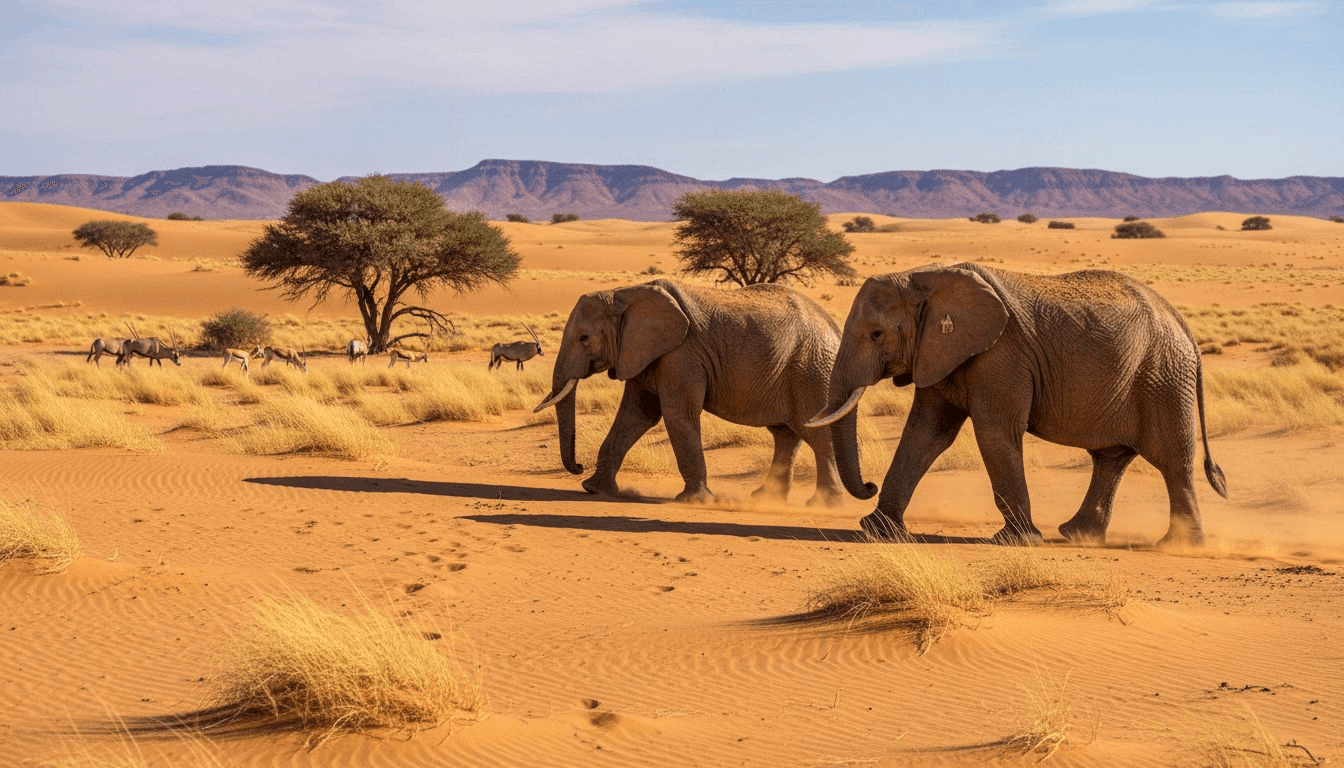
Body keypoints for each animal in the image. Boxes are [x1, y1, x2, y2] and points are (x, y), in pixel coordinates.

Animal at [533, 279, 844, 506]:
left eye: (584, 338)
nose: (578, 466)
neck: (624, 292)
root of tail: (834, 327)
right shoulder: (645, 353)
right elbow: (636, 416)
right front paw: (594, 489)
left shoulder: (681, 353)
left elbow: (676, 414)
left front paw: (695, 501)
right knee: (785, 435)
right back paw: (766, 499)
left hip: (812, 370)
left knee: (816, 433)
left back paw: (824, 504)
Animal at [806, 262, 1227, 546]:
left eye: (877, 334)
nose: (869, 484)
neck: (923, 279)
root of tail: (1182, 323)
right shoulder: (942, 353)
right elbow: (926, 433)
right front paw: (876, 530)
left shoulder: (1000, 354)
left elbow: (994, 432)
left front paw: (1018, 541)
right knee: (1112, 459)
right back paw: (1077, 535)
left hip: (1164, 379)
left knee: (1171, 460)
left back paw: (1180, 546)